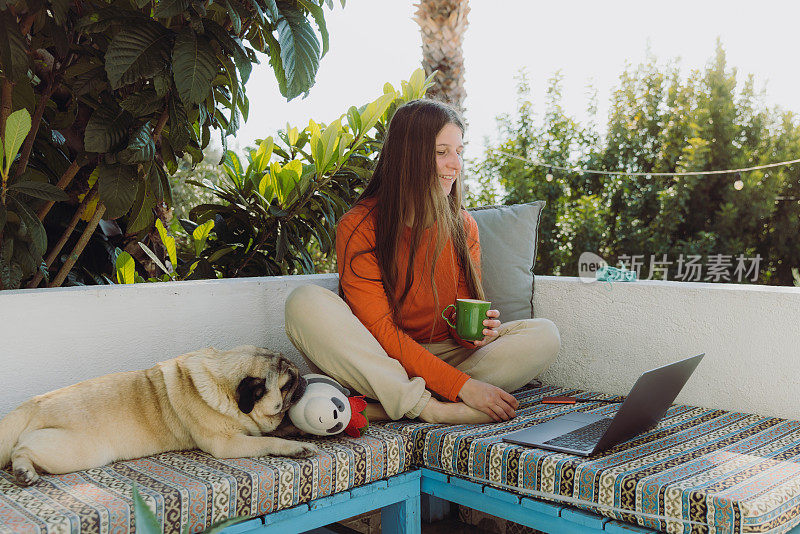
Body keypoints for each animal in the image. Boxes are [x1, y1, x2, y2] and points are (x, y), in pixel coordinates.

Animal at [0, 346, 318, 488]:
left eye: (294, 377)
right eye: (287, 384)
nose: (303, 379)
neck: (223, 385)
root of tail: (33, 404)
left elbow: (276, 430)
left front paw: (298, 431)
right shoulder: (227, 444)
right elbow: (268, 441)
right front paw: (296, 447)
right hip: (79, 451)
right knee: (20, 449)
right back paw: (24, 471)